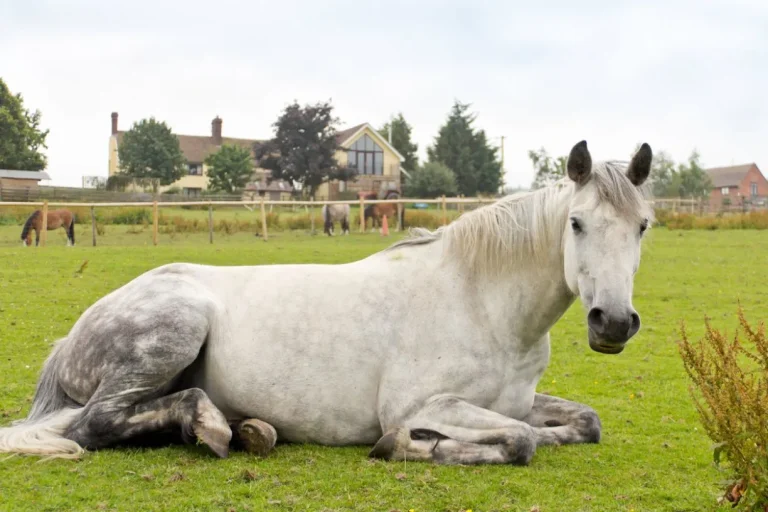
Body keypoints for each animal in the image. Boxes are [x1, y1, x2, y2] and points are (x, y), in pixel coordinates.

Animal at [0, 140, 654, 466]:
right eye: (575, 223)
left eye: (644, 226)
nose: (613, 323)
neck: (480, 304)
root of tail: (70, 339)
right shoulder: (423, 403)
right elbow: (519, 441)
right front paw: (411, 445)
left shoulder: (516, 401)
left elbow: (583, 423)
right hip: (175, 329)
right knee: (95, 425)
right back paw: (211, 424)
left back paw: (244, 430)